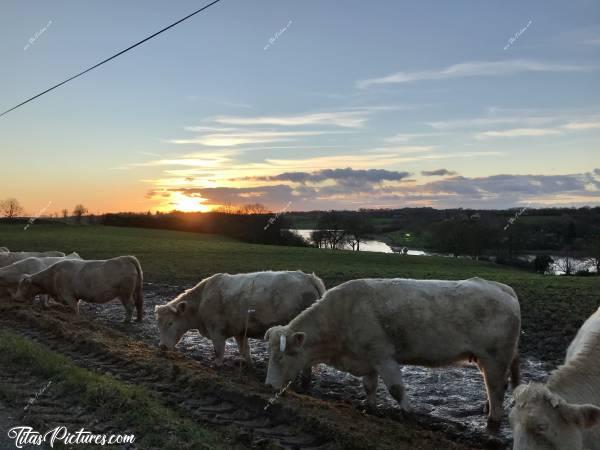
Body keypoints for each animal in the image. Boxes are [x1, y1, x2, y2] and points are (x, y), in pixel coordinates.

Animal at [14, 255, 144, 322]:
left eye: (23, 286)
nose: (16, 298)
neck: (53, 276)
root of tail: (126, 258)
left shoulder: (69, 296)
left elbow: (74, 309)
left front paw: (76, 318)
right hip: (133, 292)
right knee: (138, 304)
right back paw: (138, 319)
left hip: (125, 294)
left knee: (130, 306)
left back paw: (126, 321)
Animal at [155, 270, 324, 370]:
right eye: (159, 325)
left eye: (170, 323)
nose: (162, 346)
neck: (202, 299)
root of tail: (308, 277)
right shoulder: (240, 331)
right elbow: (245, 349)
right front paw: (249, 365)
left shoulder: (216, 330)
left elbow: (219, 349)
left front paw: (216, 364)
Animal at [264, 276, 524, 428]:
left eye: (281, 357)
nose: (267, 385)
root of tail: (500, 287)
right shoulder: (367, 358)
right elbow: (369, 386)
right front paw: (370, 408)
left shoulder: (383, 356)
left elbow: (396, 389)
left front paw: (408, 412)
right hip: (487, 359)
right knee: (493, 387)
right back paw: (487, 409)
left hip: (496, 357)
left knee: (496, 388)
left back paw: (493, 420)